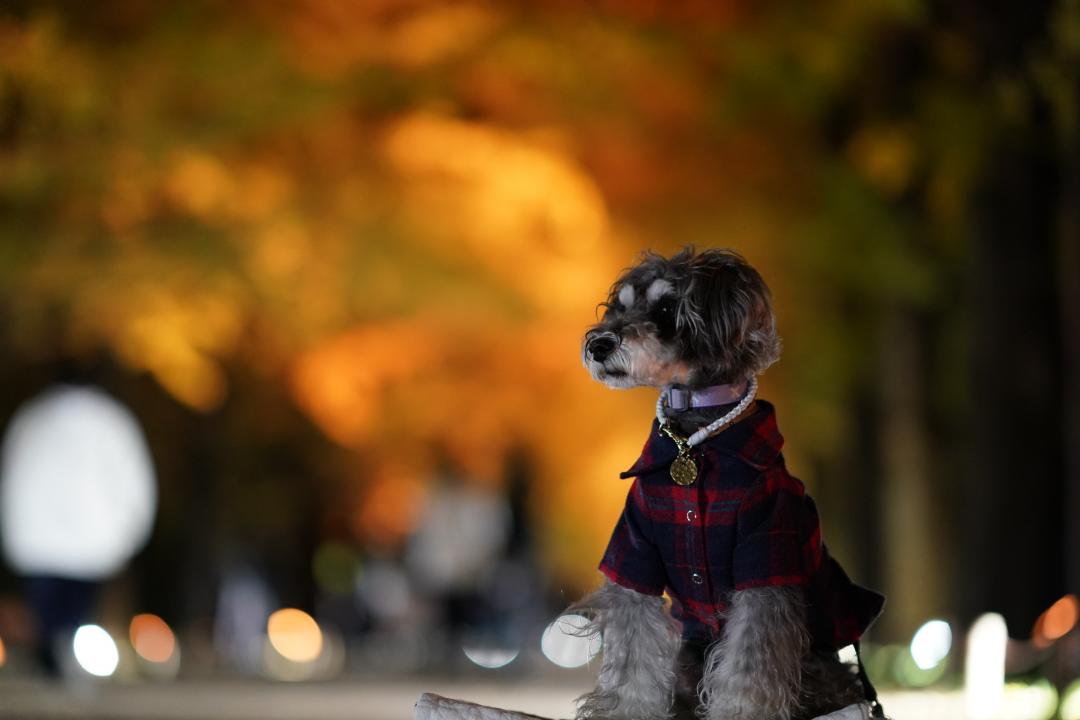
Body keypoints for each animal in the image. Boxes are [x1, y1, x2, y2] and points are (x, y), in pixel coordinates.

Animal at [574, 250, 885, 720]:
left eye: (666, 309)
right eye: (619, 307)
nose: (598, 344)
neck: (692, 437)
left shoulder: (765, 561)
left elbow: (751, 671)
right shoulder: (634, 554)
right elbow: (632, 658)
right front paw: (626, 709)